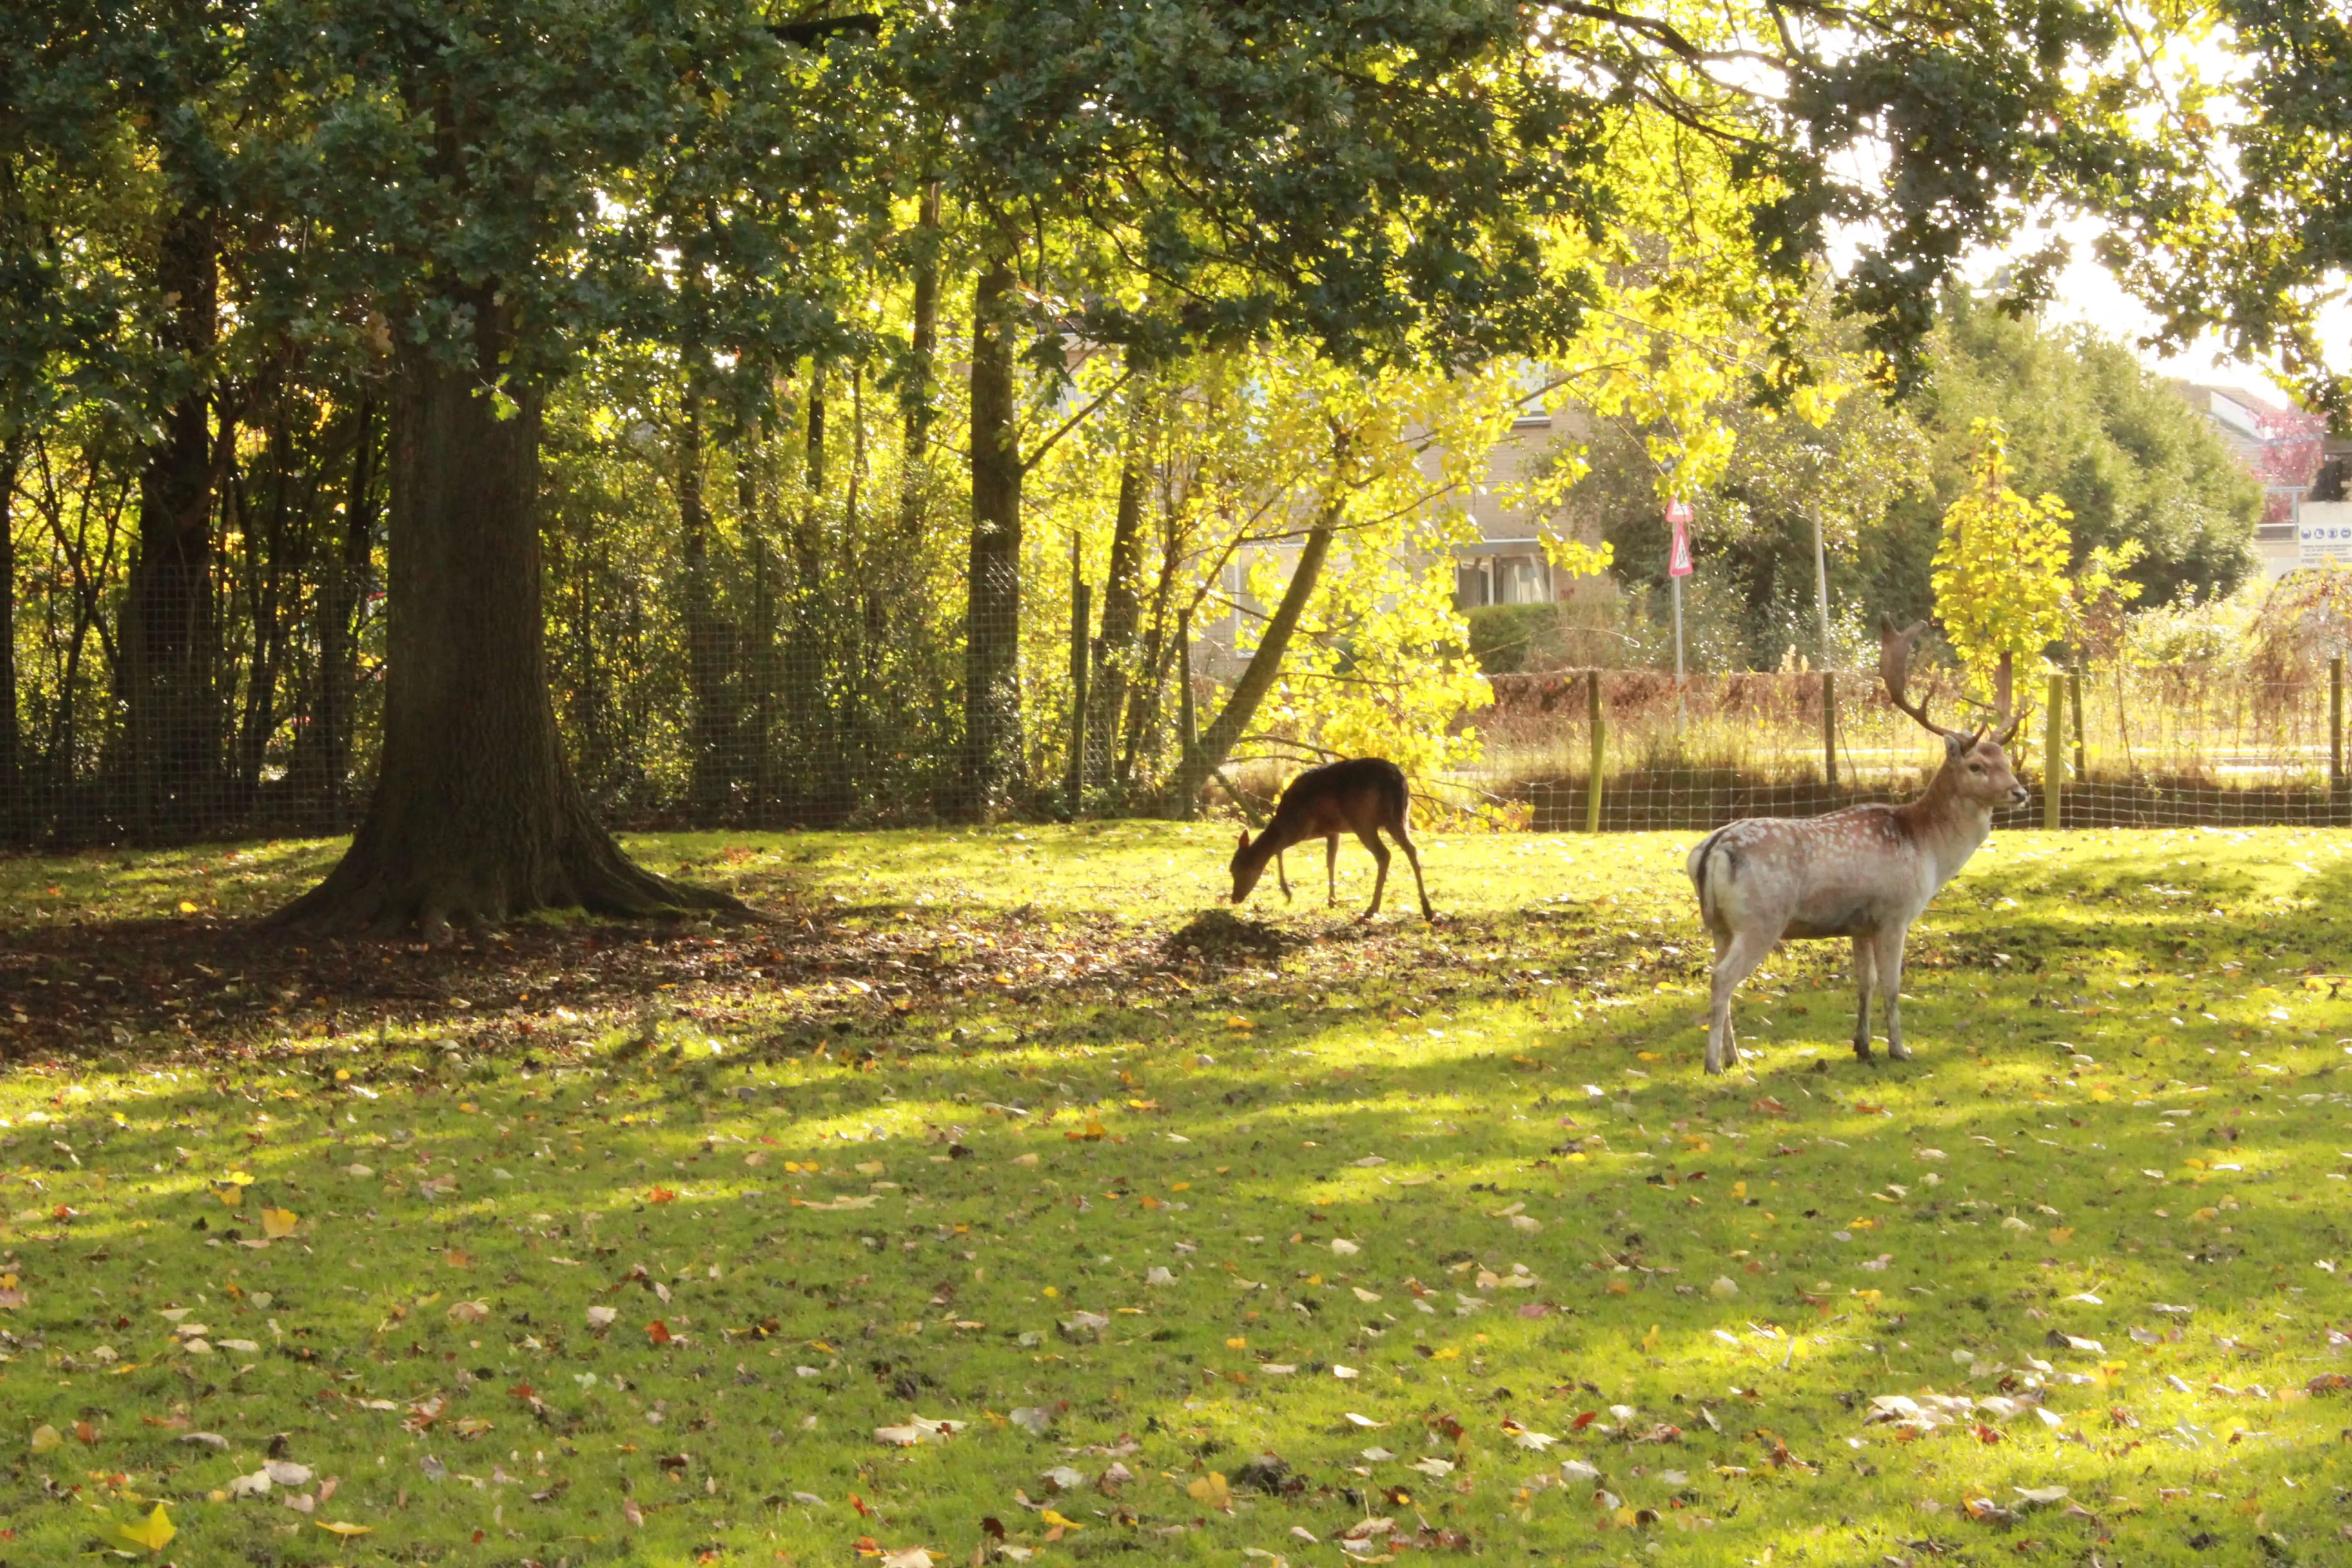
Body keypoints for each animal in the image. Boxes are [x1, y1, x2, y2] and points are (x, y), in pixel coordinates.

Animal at [1232, 757, 1430, 921]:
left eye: (1241, 870)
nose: (1235, 898)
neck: (1284, 818)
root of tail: (1397, 781)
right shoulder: (1334, 831)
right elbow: (1331, 861)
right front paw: (1332, 900)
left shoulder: (1301, 828)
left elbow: (1278, 850)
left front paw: (1288, 893)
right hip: (1400, 817)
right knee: (1412, 849)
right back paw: (1427, 909)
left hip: (1363, 820)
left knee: (1384, 855)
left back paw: (1372, 909)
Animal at [1684, 625, 2032, 1081]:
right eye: (1976, 766)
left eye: (2006, 760)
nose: (2020, 792)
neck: (1926, 847)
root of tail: (1713, 850)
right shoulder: (1895, 913)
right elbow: (1893, 985)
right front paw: (1900, 1049)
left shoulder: (1860, 924)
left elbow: (1863, 982)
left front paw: (1863, 1047)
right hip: (1762, 918)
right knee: (1722, 978)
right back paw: (1713, 1064)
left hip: (1720, 925)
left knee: (1715, 971)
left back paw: (1734, 1057)